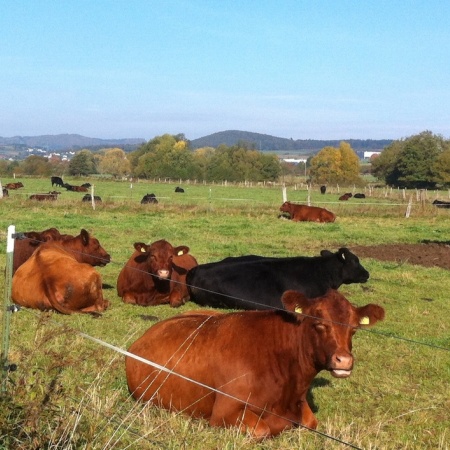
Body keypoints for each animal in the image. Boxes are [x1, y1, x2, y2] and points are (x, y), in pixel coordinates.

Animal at [125, 288, 384, 440]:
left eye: (354, 328)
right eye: (318, 322)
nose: (344, 360)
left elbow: (311, 421)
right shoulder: (224, 412)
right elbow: (262, 430)